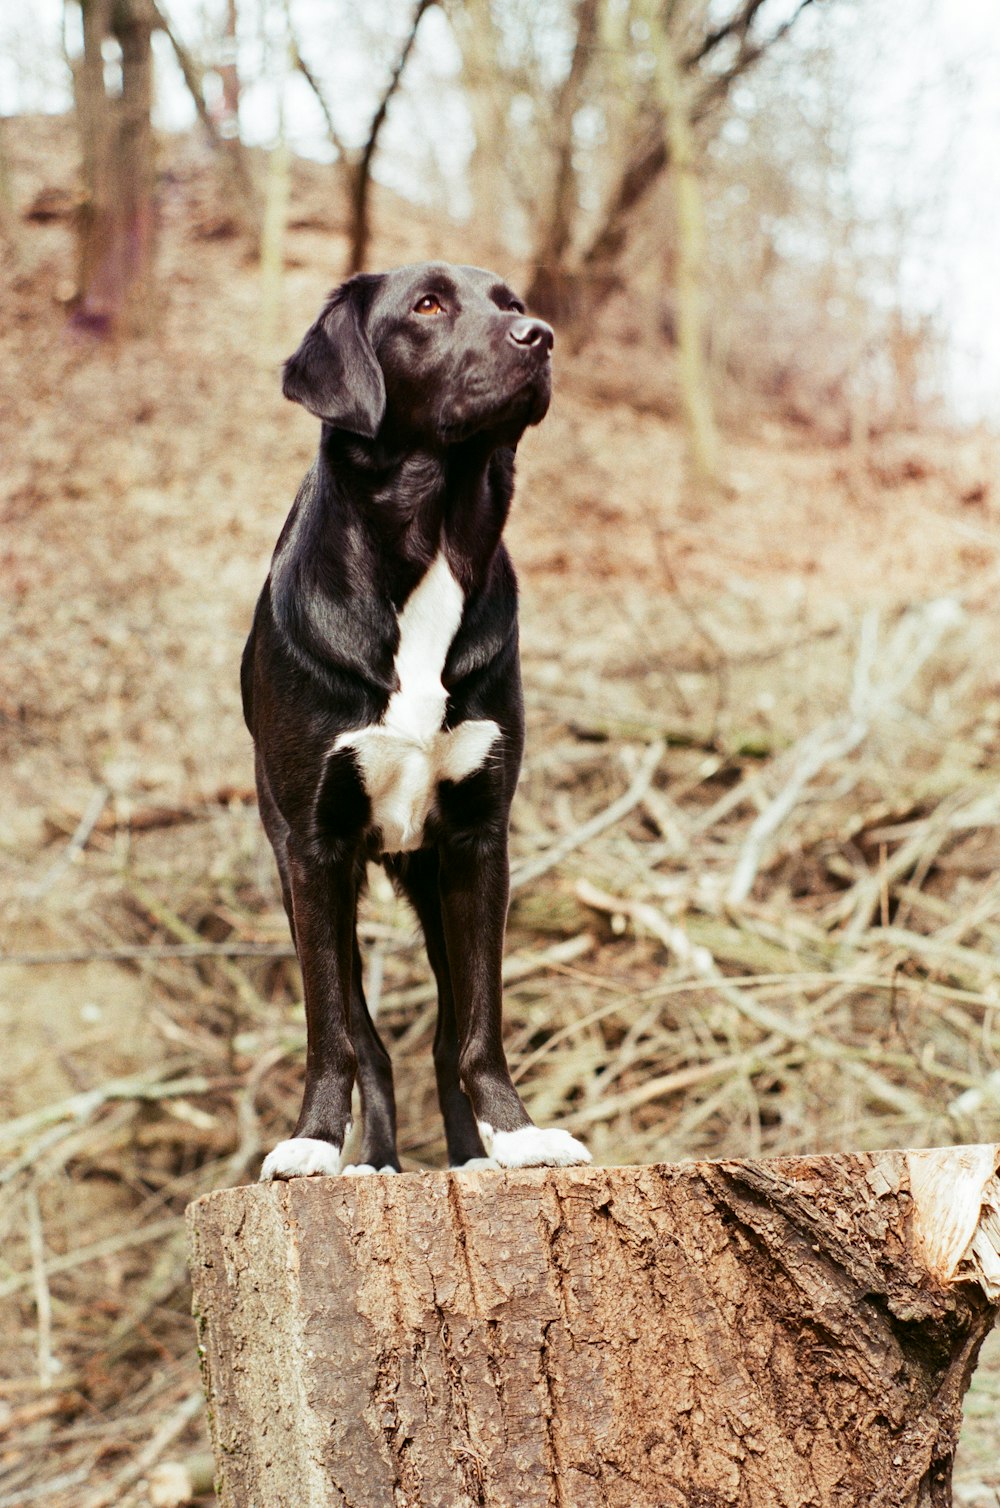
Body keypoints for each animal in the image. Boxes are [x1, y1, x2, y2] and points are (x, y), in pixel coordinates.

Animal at [241, 262, 594, 1176]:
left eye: (510, 305)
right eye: (427, 306)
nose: (540, 336)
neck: (433, 540)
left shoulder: (477, 841)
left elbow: (477, 1024)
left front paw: (516, 1133)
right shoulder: (313, 852)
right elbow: (333, 1031)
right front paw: (312, 1140)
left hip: (428, 879)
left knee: (440, 1031)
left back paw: (466, 1157)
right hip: (303, 871)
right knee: (365, 1035)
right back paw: (374, 1160)